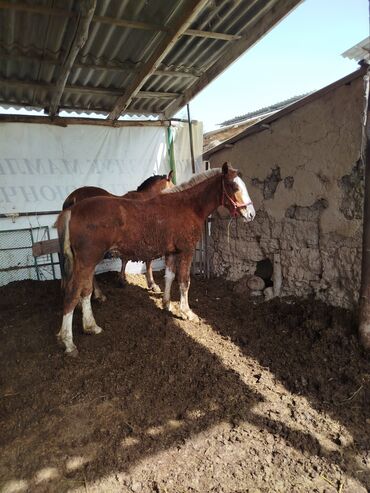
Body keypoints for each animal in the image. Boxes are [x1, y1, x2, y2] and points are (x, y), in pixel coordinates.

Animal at [56, 163, 256, 356]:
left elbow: (169, 276)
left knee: (85, 291)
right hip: (87, 261)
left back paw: (91, 326)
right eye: (233, 186)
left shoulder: (171, 252)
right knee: (73, 293)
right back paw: (68, 342)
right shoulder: (186, 251)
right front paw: (186, 312)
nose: (251, 214)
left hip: (86, 263)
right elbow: (184, 281)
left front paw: (167, 304)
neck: (187, 206)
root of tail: (72, 209)